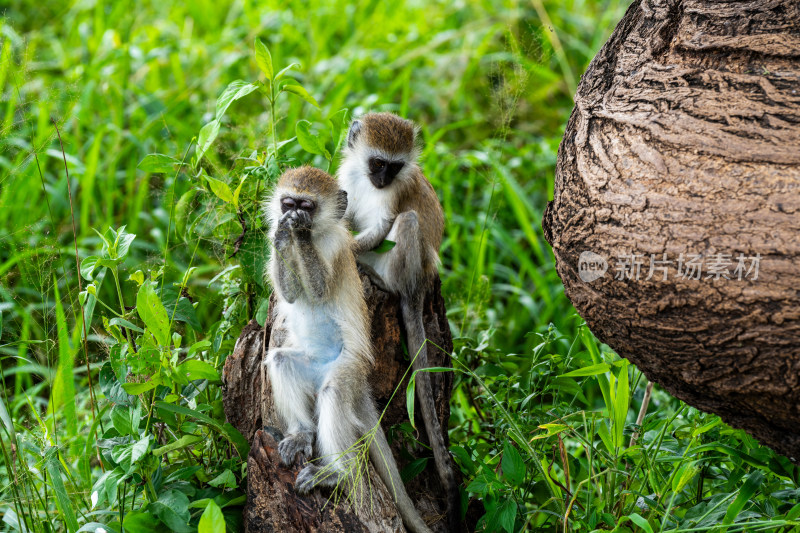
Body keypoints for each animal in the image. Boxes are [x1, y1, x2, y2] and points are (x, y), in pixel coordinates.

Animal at [266, 165, 432, 532]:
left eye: (307, 206)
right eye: (288, 202)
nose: (292, 215)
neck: (317, 236)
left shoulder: (336, 249)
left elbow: (318, 290)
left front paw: (297, 234)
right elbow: (291, 295)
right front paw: (283, 234)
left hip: (348, 370)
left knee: (333, 393)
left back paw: (336, 474)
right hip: (309, 365)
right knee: (282, 359)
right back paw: (301, 434)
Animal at [338, 114, 462, 528]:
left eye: (393, 168)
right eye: (377, 163)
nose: (381, 180)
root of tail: (420, 283)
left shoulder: (395, 194)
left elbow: (383, 224)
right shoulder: (350, 174)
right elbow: (343, 209)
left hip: (406, 266)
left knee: (406, 222)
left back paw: (378, 279)